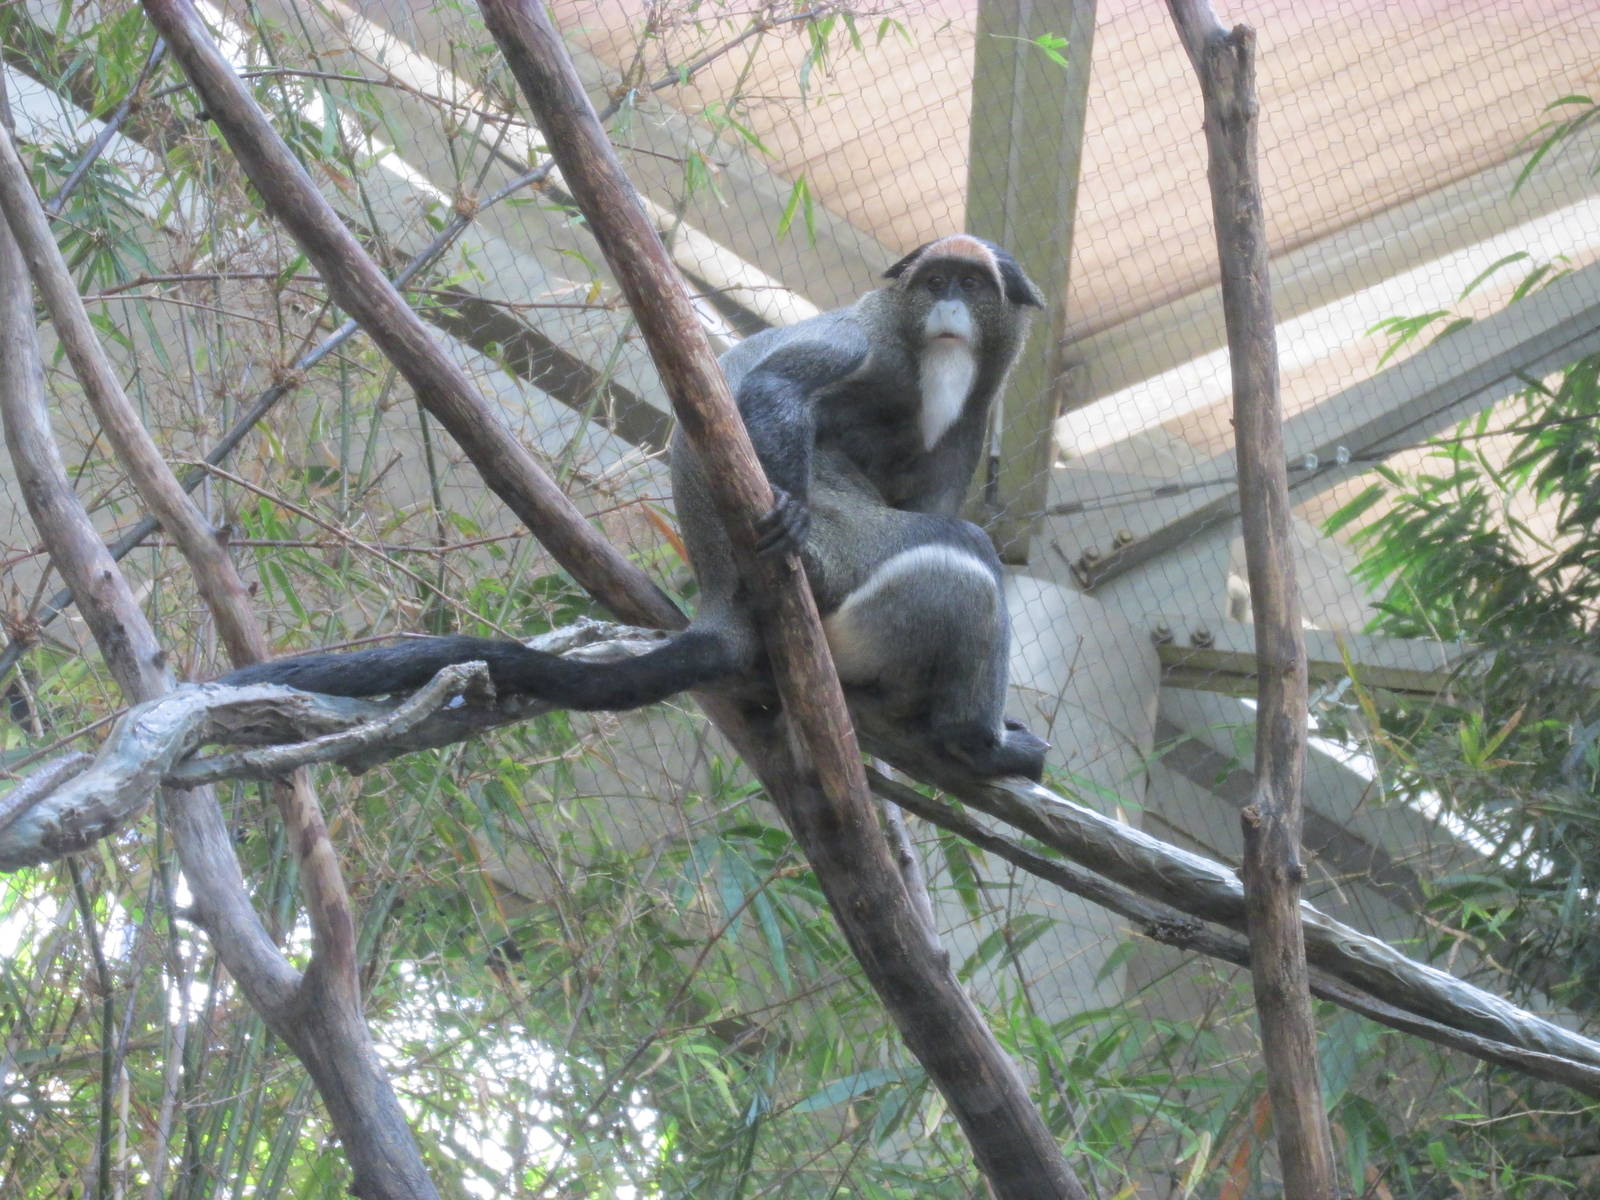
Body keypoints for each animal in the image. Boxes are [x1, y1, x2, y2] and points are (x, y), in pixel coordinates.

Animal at [220, 235, 1050, 780]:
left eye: (971, 286)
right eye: (935, 281)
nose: (949, 306)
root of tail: (723, 602)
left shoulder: (975, 418)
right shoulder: (862, 339)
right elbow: (772, 391)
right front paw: (790, 507)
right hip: (845, 581)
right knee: (962, 564)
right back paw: (973, 737)